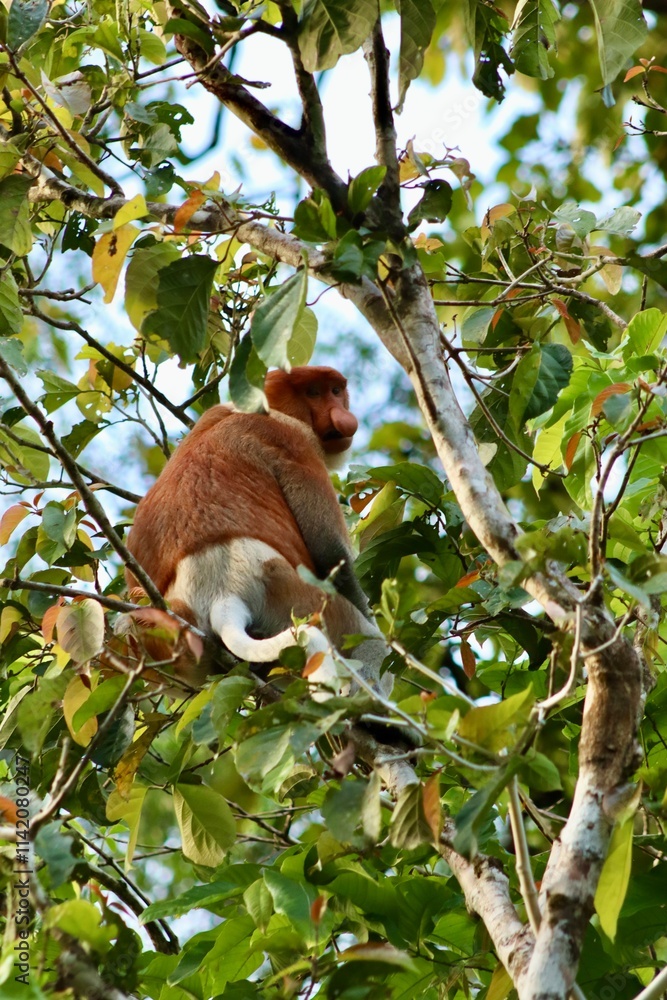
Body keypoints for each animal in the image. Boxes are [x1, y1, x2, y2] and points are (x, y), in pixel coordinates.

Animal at [124, 366, 391, 700]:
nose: (343, 416)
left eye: (336, 391)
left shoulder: (216, 411)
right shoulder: (292, 440)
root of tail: (222, 596)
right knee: (366, 641)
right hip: (291, 594)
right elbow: (331, 552)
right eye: (314, 392)